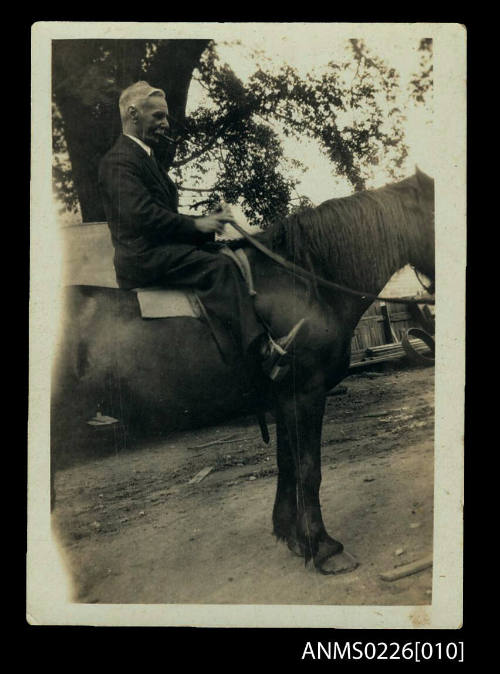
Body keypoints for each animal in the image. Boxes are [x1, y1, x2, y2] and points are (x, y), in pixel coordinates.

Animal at [50, 167, 434, 572]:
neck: (304, 283)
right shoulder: (305, 394)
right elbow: (308, 468)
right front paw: (323, 546)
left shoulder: (283, 399)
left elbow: (287, 465)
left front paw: (293, 536)